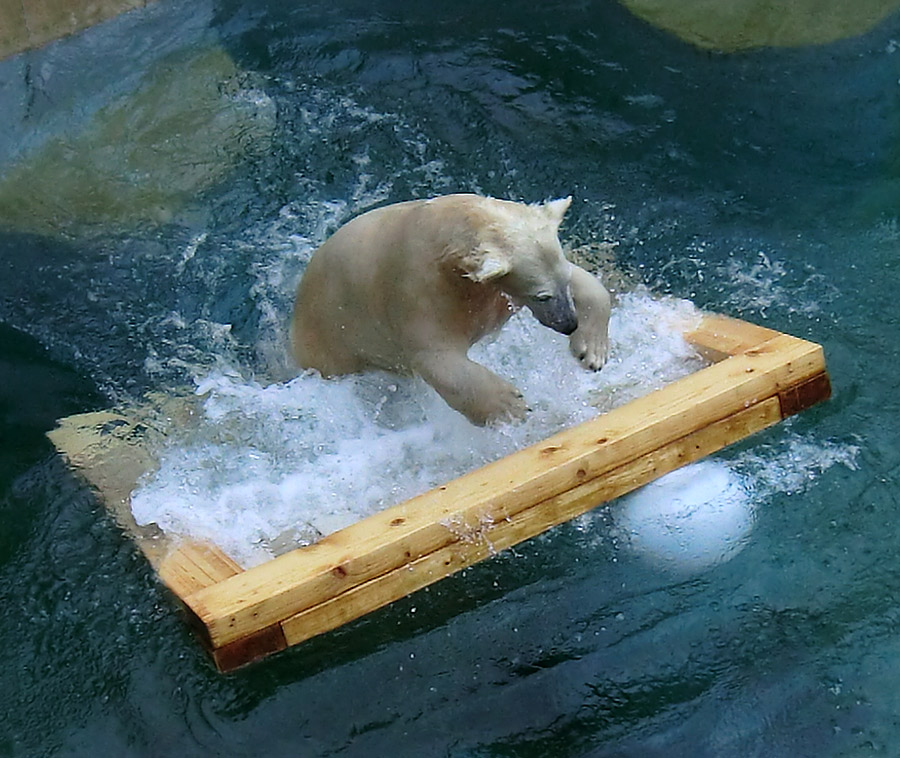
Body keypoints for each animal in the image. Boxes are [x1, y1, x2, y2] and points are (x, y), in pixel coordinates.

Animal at [288, 193, 612, 424]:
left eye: (562, 283)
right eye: (542, 296)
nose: (568, 323)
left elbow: (590, 287)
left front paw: (592, 352)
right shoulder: (417, 288)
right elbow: (436, 358)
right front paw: (510, 406)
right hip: (333, 342)